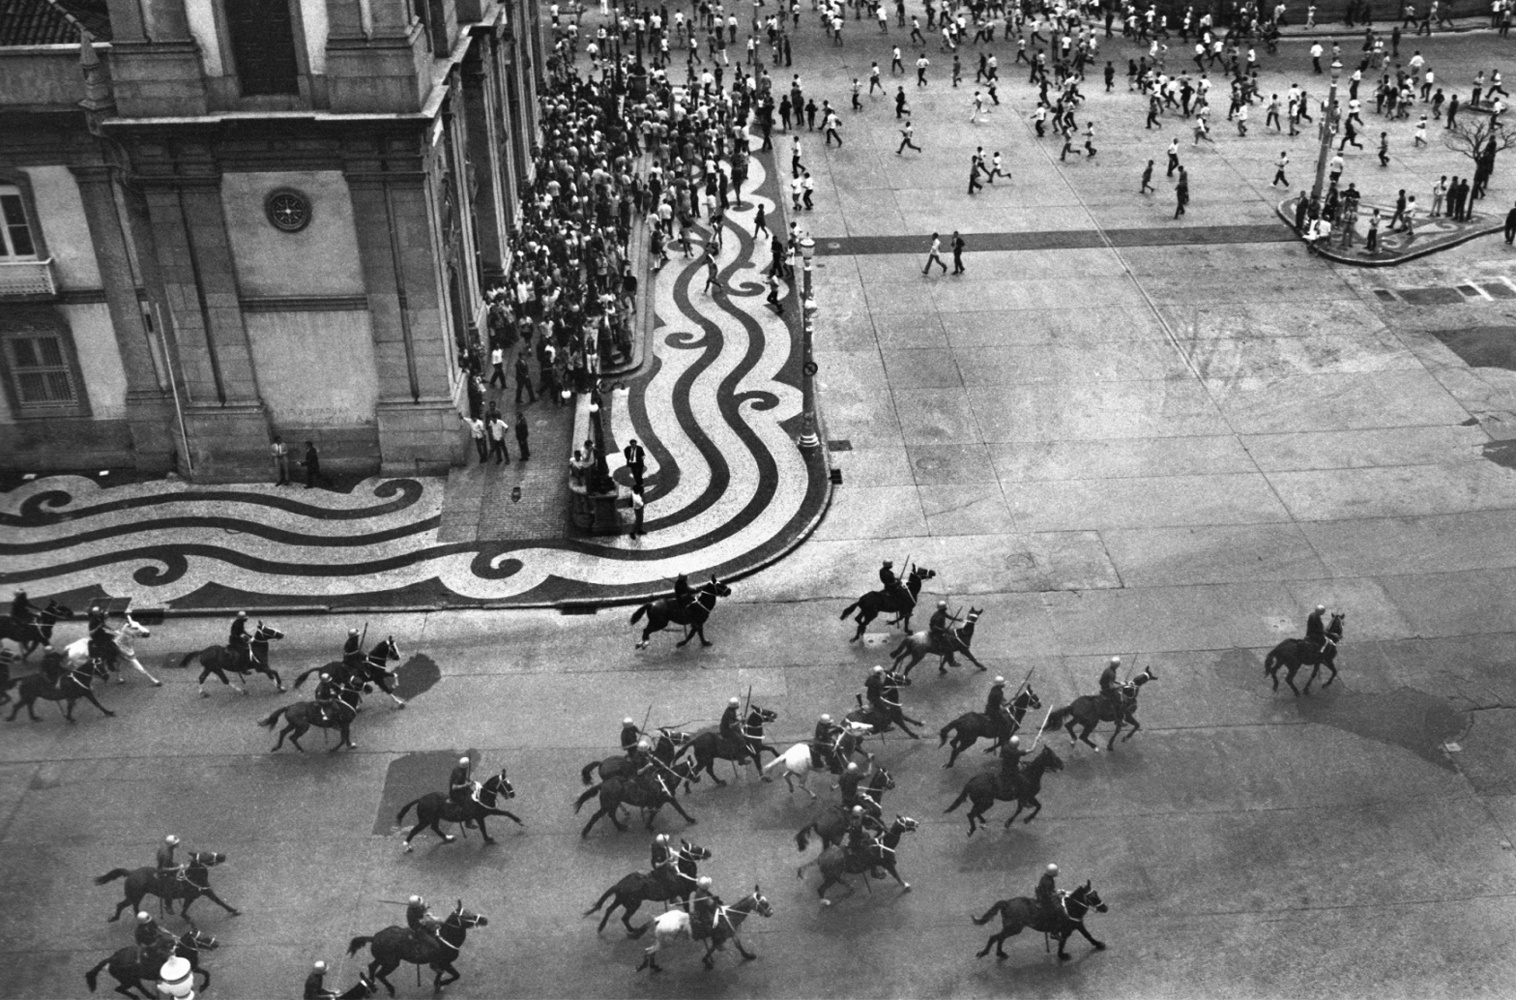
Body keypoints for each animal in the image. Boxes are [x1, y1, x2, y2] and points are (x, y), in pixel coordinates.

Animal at [84, 927, 218, 993]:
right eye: (201, 938)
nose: (216, 943)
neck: (180, 953)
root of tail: (111, 959)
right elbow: (206, 973)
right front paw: (203, 986)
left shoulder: (193, 969)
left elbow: (206, 973)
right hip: (127, 981)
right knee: (119, 989)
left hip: (134, 979)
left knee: (139, 987)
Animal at [345, 903, 482, 993]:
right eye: (465, 915)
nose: (481, 919)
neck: (446, 938)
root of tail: (374, 937)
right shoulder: (444, 963)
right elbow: (456, 975)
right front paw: (441, 983)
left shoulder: (441, 964)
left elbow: (442, 974)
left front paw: (438, 984)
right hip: (391, 963)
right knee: (380, 974)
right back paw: (390, 989)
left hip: (382, 959)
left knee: (372, 967)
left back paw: (372, 985)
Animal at [394, 766, 524, 854]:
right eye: (506, 784)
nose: (513, 794)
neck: (482, 796)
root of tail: (420, 799)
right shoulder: (481, 815)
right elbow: (485, 826)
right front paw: (488, 838)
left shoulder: (487, 812)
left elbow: (505, 813)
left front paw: (519, 821)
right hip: (425, 820)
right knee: (414, 831)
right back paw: (407, 846)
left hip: (434, 818)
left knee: (434, 828)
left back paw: (447, 838)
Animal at [585, 836, 715, 939]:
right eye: (695, 849)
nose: (709, 852)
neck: (682, 873)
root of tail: (618, 885)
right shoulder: (685, 894)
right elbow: (687, 908)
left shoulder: (694, 888)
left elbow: (708, 893)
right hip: (633, 905)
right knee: (624, 918)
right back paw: (633, 930)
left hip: (620, 900)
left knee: (609, 910)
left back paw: (602, 927)